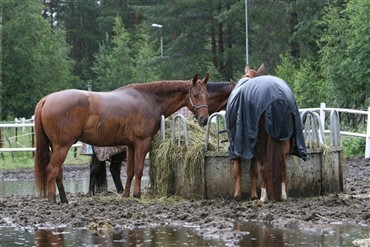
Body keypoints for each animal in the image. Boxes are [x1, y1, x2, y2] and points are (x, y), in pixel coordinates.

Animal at [34, 75, 211, 203]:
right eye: (195, 95)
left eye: (207, 95)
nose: (204, 119)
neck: (149, 99)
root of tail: (47, 99)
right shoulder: (142, 142)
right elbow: (138, 169)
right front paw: (137, 194)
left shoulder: (130, 145)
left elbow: (130, 170)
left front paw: (126, 194)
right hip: (62, 146)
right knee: (52, 170)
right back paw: (52, 200)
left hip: (57, 147)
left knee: (58, 172)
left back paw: (64, 199)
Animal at [225, 65, 306, 203]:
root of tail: (277, 99)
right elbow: (252, 171)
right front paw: (253, 194)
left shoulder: (236, 144)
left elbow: (238, 170)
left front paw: (238, 194)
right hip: (284, 139)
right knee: (283, 167)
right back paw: (282, 194)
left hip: (260, 143)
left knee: (264, 167)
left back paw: (263, 196)